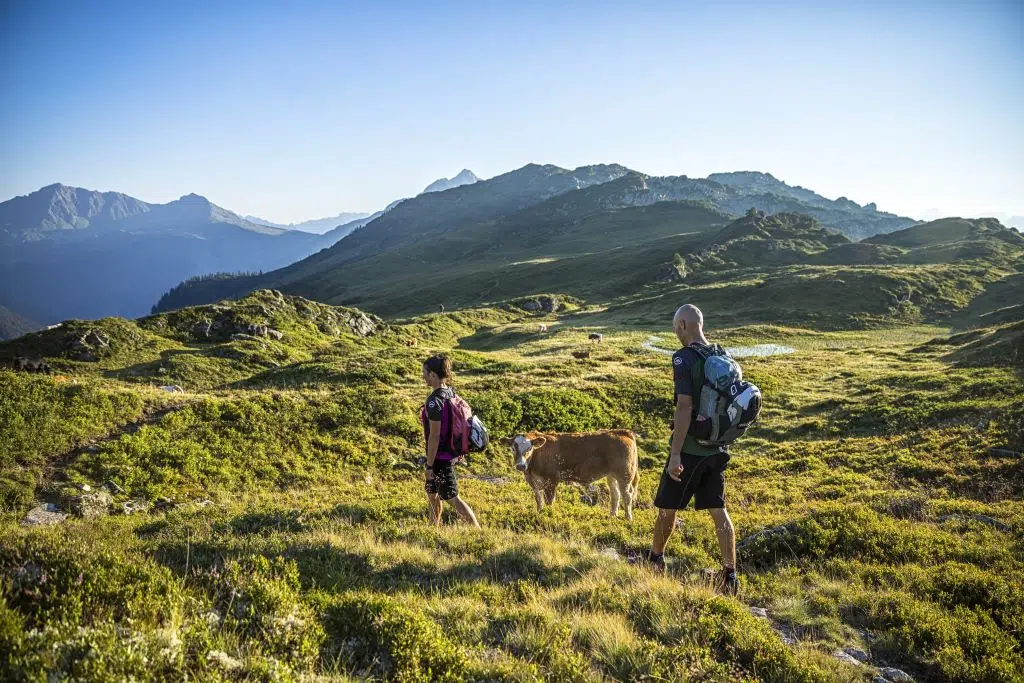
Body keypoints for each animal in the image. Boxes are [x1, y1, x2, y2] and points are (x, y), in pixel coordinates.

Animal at [503, 430, 638, 520]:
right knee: (615, 494)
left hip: (625, 474)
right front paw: (539, 513)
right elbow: (539, 500)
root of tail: (621, 432)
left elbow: (549, 501)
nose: (521, 466)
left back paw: (628, 518)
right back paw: (612, 515)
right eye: (513, 448)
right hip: (612, 475)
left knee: (627, 495)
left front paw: (548, 515)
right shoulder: (534, 482)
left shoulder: (551, 480)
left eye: (529, 449)